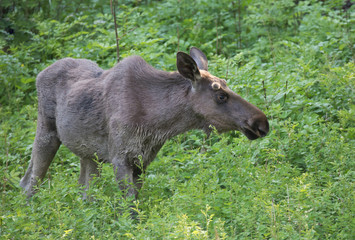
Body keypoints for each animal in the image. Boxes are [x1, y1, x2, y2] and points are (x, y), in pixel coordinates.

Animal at [20, 47, 270, 199]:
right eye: (220, 95)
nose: (262, 123)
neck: (157, 124)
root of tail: (40, 73)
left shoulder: (142, 160)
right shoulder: (120, 157)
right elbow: (129, 207)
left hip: (88, 154)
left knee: (84, 191)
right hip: (46, 131)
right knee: (30, 182)